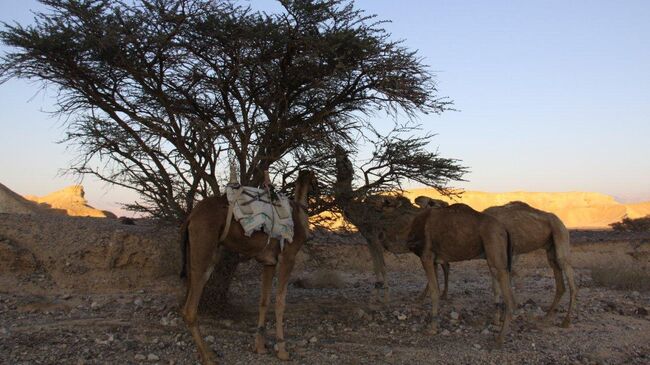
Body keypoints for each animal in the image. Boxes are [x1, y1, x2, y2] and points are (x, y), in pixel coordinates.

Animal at [180, 169, 316, 362]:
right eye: (315, 180)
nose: (318, 189)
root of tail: (191, 217)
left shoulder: (269, 262)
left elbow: (264, 301)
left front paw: (259, 348)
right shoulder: (288, 258)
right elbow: (280, 302)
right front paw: (282, 351)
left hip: (194, 253)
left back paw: (207, 352)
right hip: (204, 248)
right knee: (190, 310)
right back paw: (208, 357)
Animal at [404, 205, 516, 344]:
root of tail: (505, 229)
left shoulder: (426, 256)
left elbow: (434, 291)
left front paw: (432, 329)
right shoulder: (434, 260)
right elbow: (433, 286)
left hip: (495, 250)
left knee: (509, 298)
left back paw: (500, 338)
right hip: (492, 257)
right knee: (496, 287)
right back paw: (496, 322)